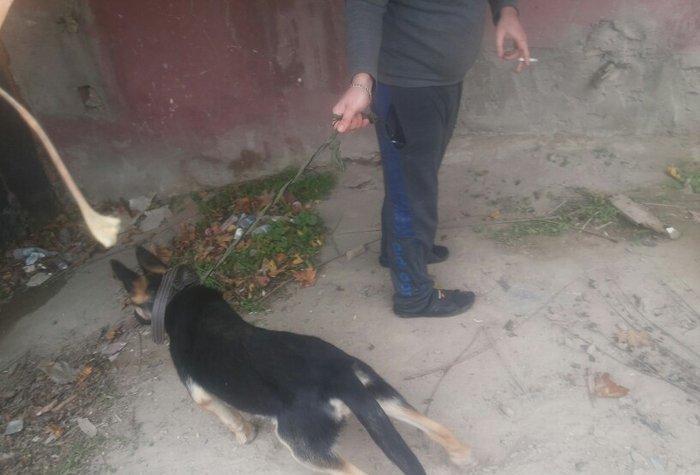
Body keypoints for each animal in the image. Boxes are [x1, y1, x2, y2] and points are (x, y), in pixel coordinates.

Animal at [110, 246, 471, 474]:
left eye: (133, 306)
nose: (133, 321)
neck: (177, 296)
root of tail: (337, 377)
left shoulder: (201, 395)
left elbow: (228, 417)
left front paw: (243, 434)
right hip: (378, 396)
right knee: (436, 427)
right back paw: (460, 456)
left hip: (301, 446)